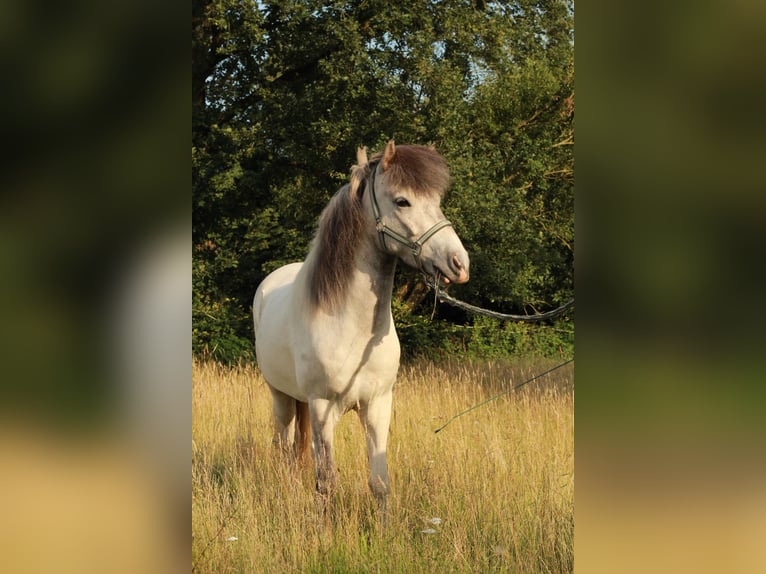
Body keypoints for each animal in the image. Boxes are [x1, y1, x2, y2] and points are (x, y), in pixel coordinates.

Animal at [254, 142, 468, 520]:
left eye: (437, 199)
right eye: (402, 201)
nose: (458, 263)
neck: (350, 327)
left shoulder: (378, 405)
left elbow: (379, 481)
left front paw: (385, 529)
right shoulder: (322, 406)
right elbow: (326, 484)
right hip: (281, 397)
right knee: (283, 448)